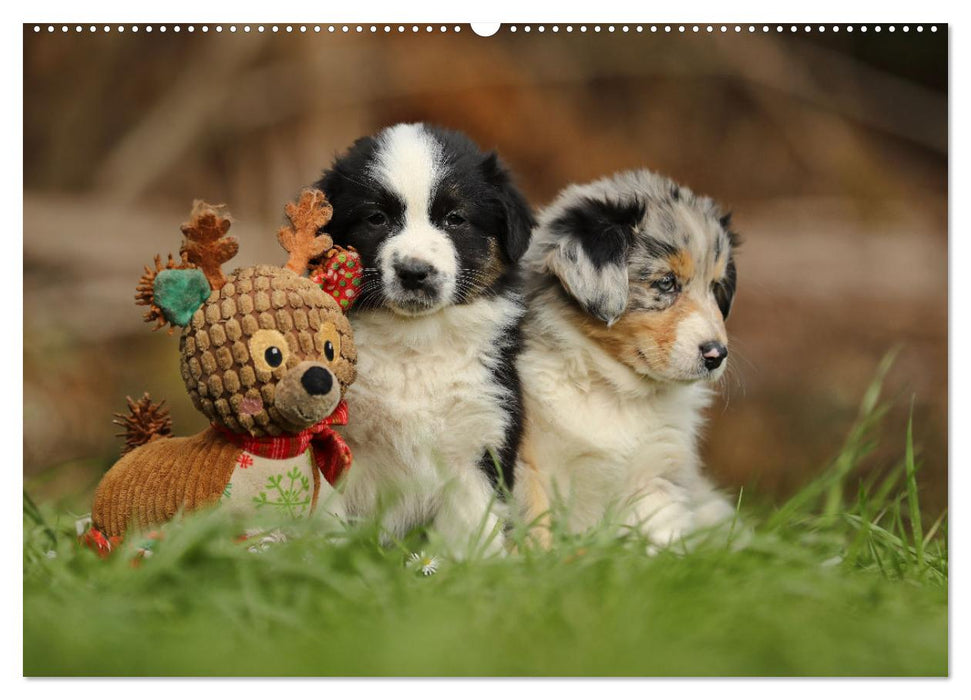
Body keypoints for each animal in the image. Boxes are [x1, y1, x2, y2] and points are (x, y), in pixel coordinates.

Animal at [318, 123, 532, 556]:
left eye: (455, 218)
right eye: (377, 218)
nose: (414, 272)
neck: (413, 344)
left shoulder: (481, 440)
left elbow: (471, 536)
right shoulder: (335, 440)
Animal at [516, 170, 736, 552]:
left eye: (715, 287)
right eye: (666, 282)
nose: (716, 354)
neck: (614, 390)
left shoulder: (659, 473)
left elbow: (663, 538)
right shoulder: (526, 463)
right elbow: (535, 529)